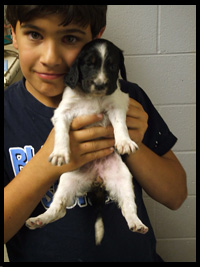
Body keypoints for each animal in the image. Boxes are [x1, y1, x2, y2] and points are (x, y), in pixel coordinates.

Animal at [25, 38, 148, 246]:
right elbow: (61, 133)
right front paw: (60, 153)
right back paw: (39, 219)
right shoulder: (63, 112)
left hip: (123, 178)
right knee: (58, 209)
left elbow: (120, 124)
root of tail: (97, 179)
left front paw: (124, 142)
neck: (92, 97)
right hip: (68, 180)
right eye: (89, 64)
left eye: (112, 66)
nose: (100, 84)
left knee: (128, 207)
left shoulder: (117, 104)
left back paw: (137, 223)